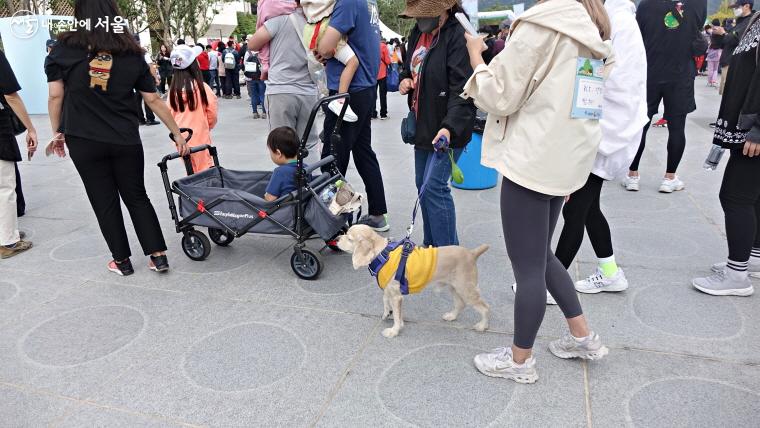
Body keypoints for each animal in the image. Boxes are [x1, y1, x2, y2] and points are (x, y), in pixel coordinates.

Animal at [336, 224, 490, 338]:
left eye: (349, 238)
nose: (336, 238)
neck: (382, 254)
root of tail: (471, 253)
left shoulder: (397, 297)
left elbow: (397, 316)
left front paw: (394, 331)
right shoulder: (389, 291)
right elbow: (386, 302)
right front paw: (387, 314)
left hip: (466, 290)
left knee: (485, 307)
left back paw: (482, 326)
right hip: (455, 288)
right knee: (460, 304)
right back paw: (452, 316)